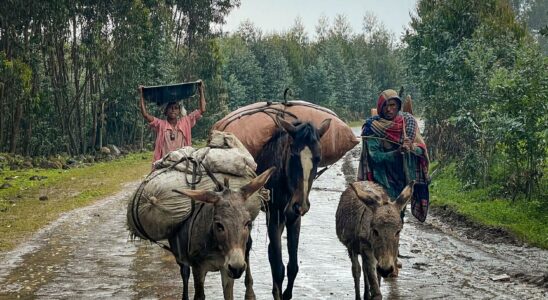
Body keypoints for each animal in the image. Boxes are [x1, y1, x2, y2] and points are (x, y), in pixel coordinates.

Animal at [256, 118, 330, 300]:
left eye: (318, 158)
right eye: (293, 156)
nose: (300, 205)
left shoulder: (294, 219)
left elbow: (292, 267)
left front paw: (285, 294)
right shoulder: (274, 217)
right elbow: (278, 268)